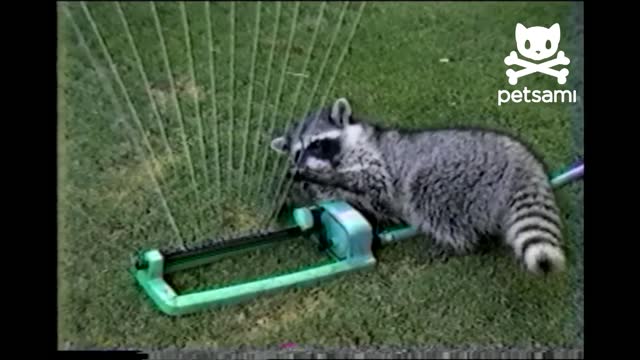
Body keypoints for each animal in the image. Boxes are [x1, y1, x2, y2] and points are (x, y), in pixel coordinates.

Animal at [270, 97, 564, 274]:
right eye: (298, 151)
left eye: (318, 144)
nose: (305, 167)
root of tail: (523, 160)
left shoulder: (373, 157)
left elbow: (374, 182)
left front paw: (318, 178)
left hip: (456, 172)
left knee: (425, 194)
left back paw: (457, 243)